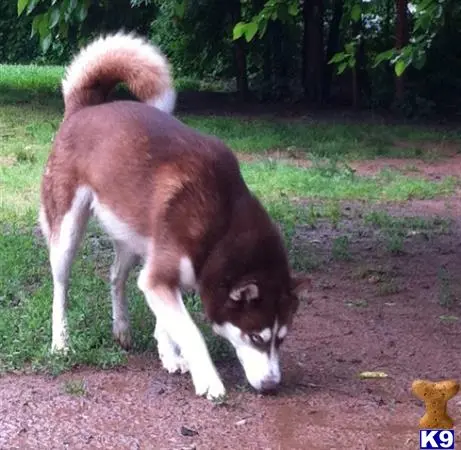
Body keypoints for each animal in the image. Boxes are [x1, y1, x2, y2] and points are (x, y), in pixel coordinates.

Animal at [38, 32, 310, 400]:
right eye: (256, 336)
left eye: (281, 340)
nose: (271, 385)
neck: (222, 227)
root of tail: (84, 108)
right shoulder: (159, 276)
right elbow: (192, 332)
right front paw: (209, 380)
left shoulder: (160, 275)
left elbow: (168, 322)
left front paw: (169, 354)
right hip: (67, 232)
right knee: (61, 288)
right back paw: (61, 342)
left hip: (132, 234)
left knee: (116, 276)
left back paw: (122, 328)